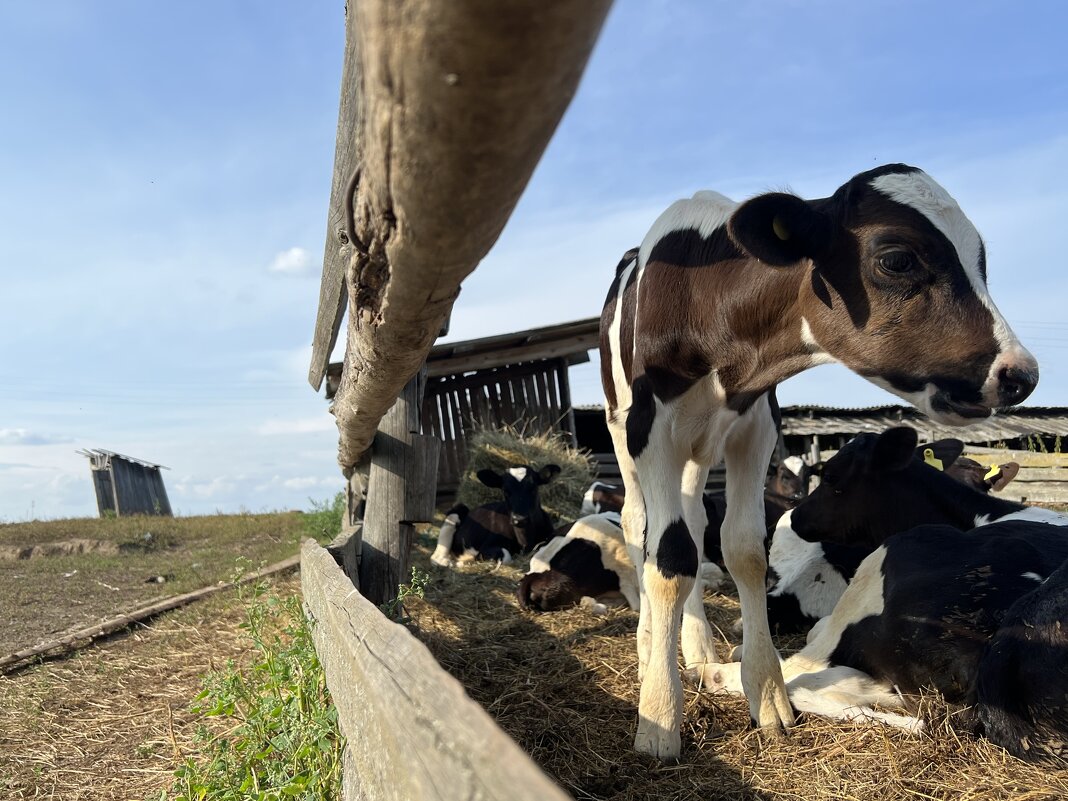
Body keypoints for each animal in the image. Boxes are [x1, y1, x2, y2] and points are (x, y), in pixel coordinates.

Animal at [427, 461, 559, 568]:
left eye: (533, 488)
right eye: (505, 491)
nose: (519, 519)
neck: (524, 540)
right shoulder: (487, 548)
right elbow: (505, 556)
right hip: (457, 511)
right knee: (437, 555)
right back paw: (448, 562)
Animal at [606, 164, 1038, 760]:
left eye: (981, 262)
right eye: (897, 259)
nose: (1021, 374)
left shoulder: (755, 426)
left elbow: (744, 550)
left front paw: (767, 698)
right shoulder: (651, 429)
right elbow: (667, 558)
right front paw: (659, 718)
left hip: (698, 454)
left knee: (693, 519)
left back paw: (698, 648)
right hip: (622, 430)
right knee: (637, 526)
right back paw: (652, 647)